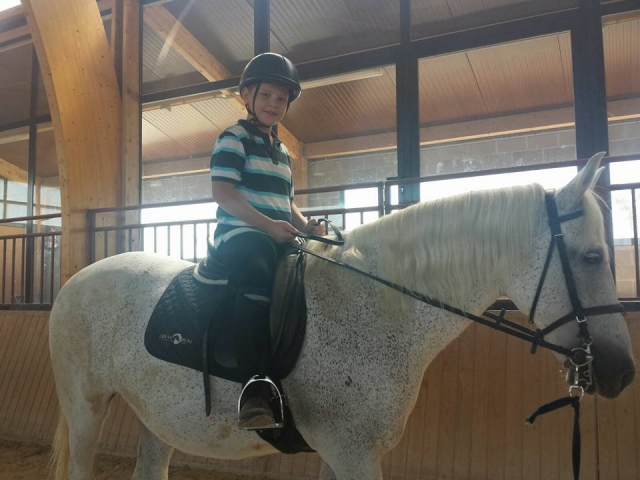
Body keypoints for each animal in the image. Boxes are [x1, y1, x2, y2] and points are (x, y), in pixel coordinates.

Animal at [49, 153, 635, 480]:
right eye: (592, 257)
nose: (621, 372)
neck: (377, 305)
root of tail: (76, 280)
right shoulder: (353, 453)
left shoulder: (341, 452)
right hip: (84, 407)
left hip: (158, 419)